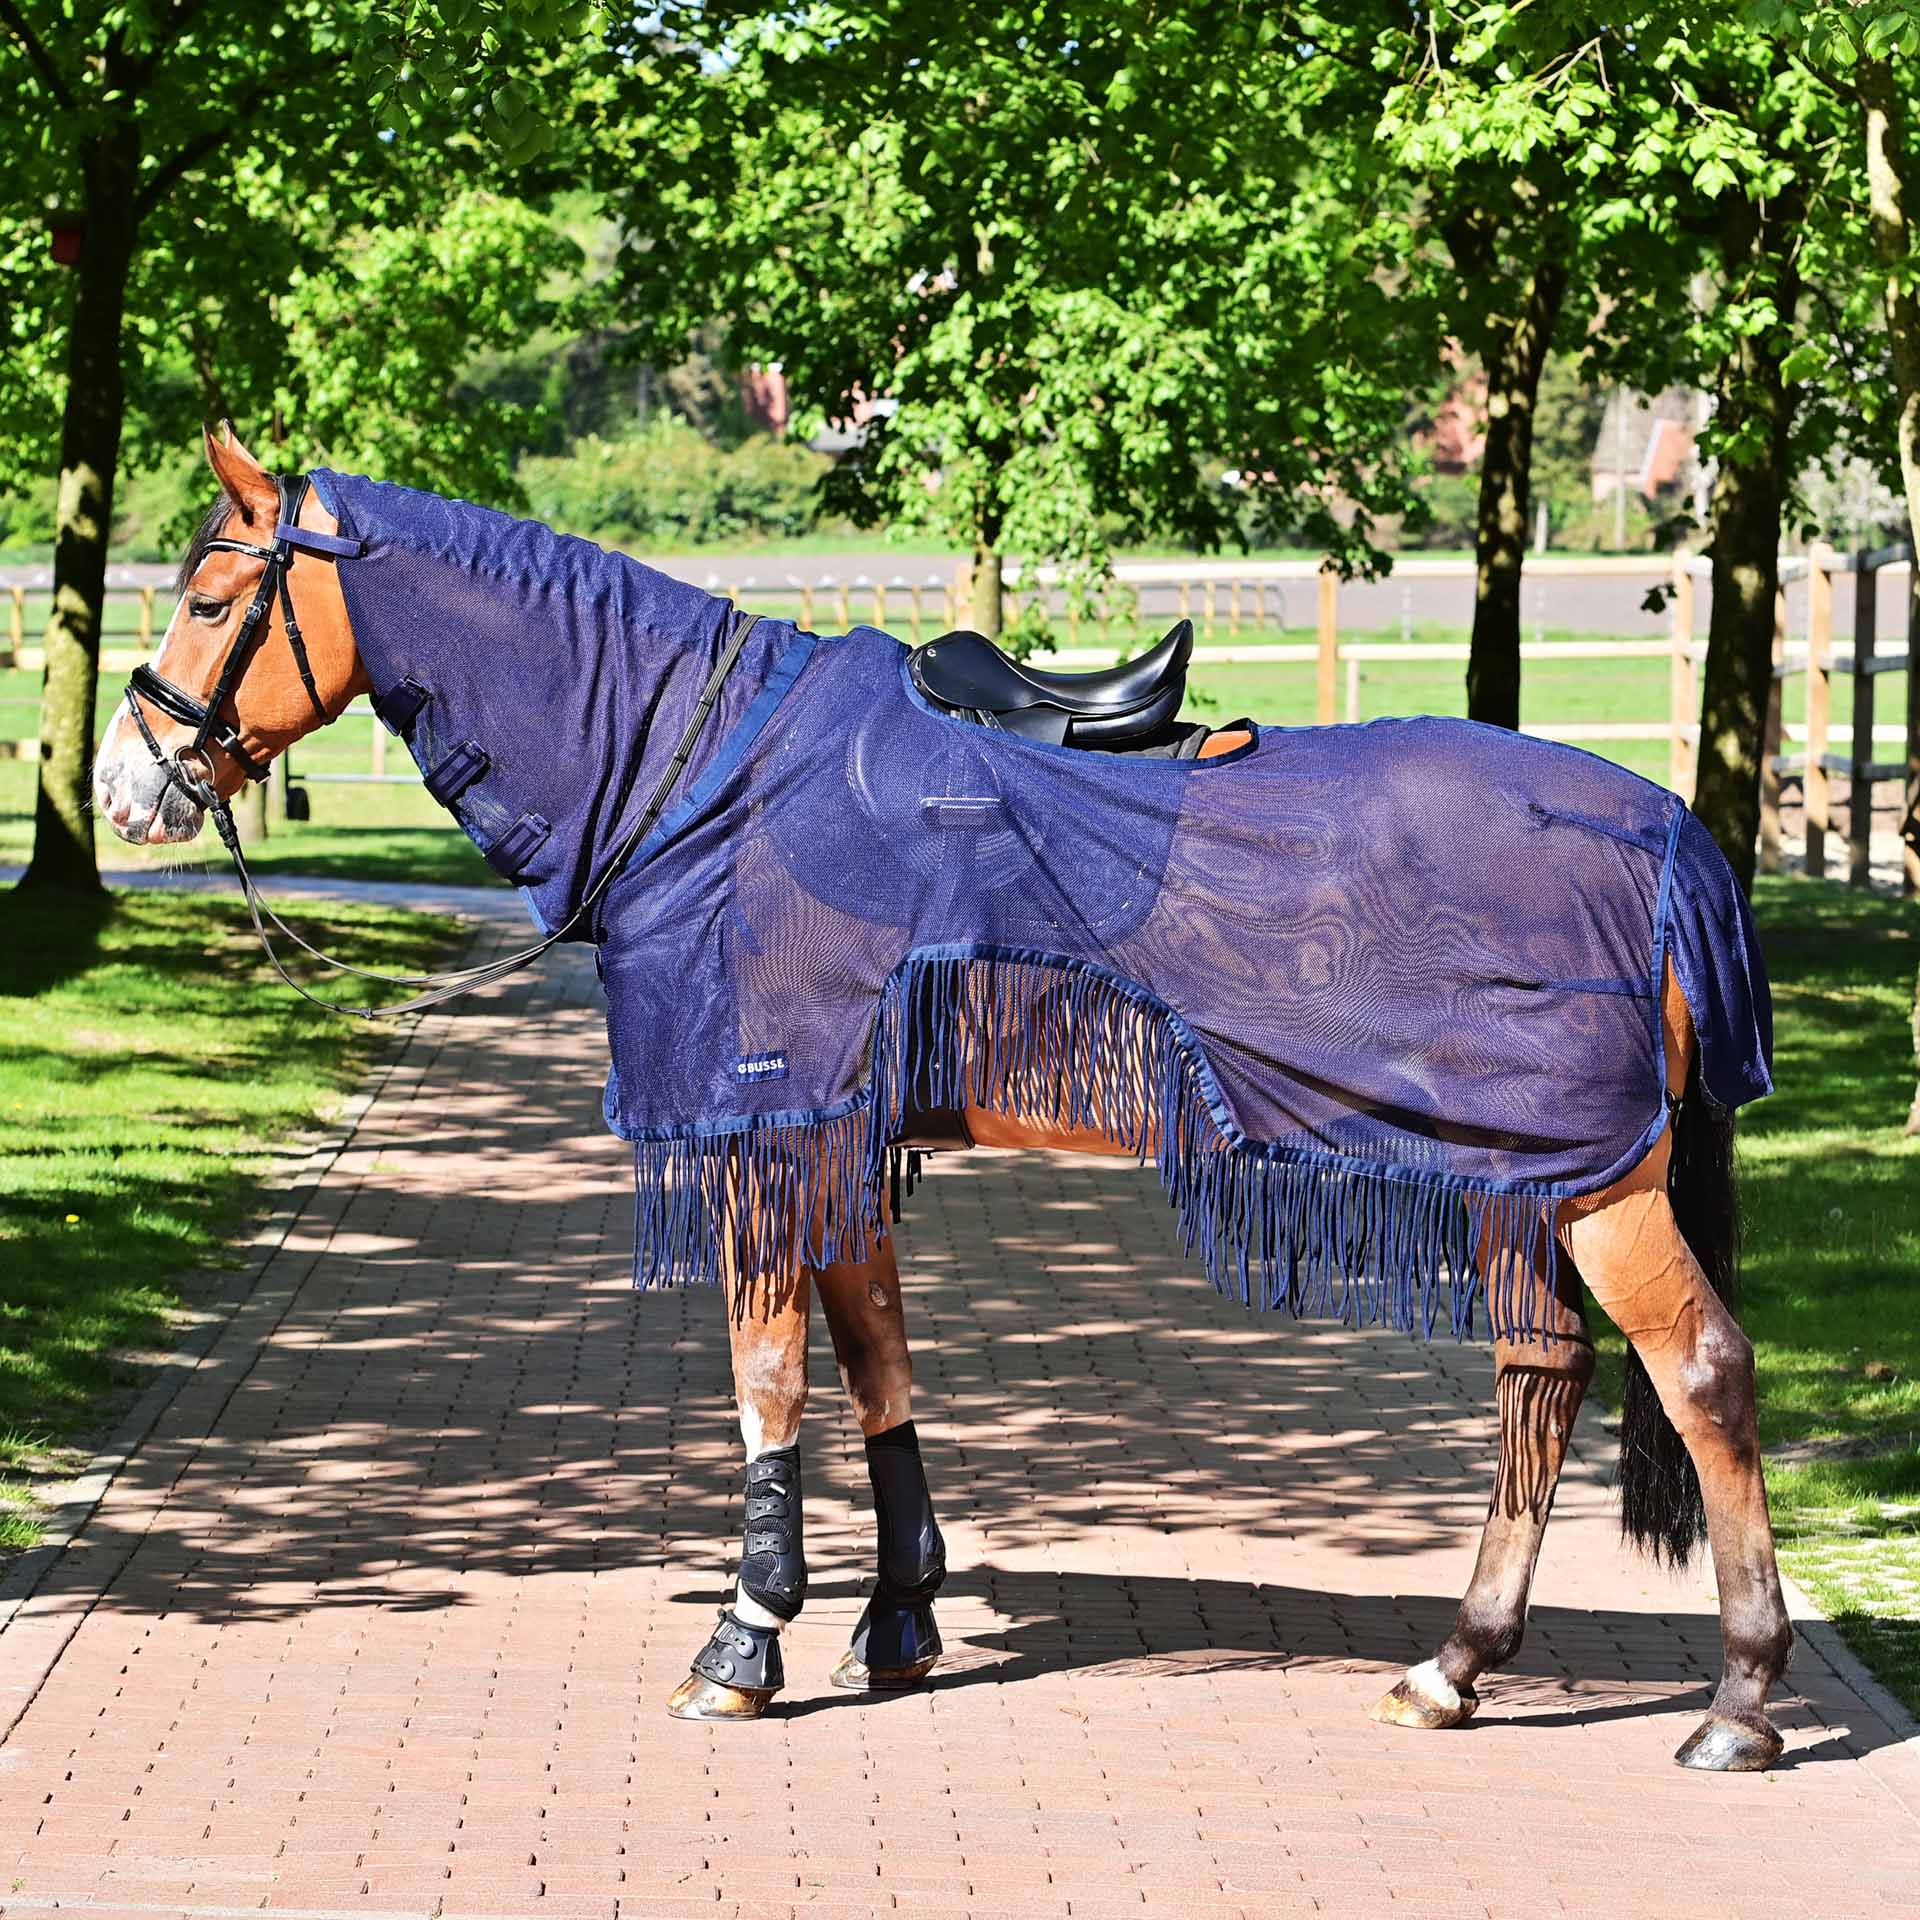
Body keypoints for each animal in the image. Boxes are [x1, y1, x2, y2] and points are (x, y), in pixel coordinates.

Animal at [90, 432, 1789, 1766]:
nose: (127, 782)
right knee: (1540, 1380)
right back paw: (1456, 1665)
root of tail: (1658, 832)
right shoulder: (839, 1133)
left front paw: (745, 1640)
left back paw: (1741, 1700)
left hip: (1595, 1181)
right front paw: (897, 1612)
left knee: (1700, 1371)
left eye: (211, 597)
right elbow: (875, 1364)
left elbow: (769, 1381)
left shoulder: (767, 1130)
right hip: (1527, 1175)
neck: (717, 778)